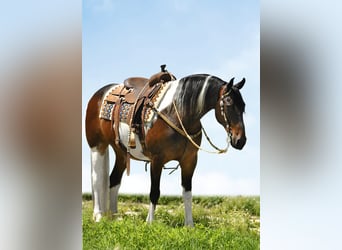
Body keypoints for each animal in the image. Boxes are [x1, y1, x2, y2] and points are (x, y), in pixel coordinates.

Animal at [85, 72, 246, 227]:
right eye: (229, 102)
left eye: (243, 106)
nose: (240, 141)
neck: (177, 113)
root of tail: (99, 94)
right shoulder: (157, 160)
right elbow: (154, 192)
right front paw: (150, 223)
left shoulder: (190, 160)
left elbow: (187, 193)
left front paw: (190, 225)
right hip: (97, 146)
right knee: (96, 178)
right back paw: (98, 216)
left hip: (122, 153)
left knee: (114, 180)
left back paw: (114, 216)